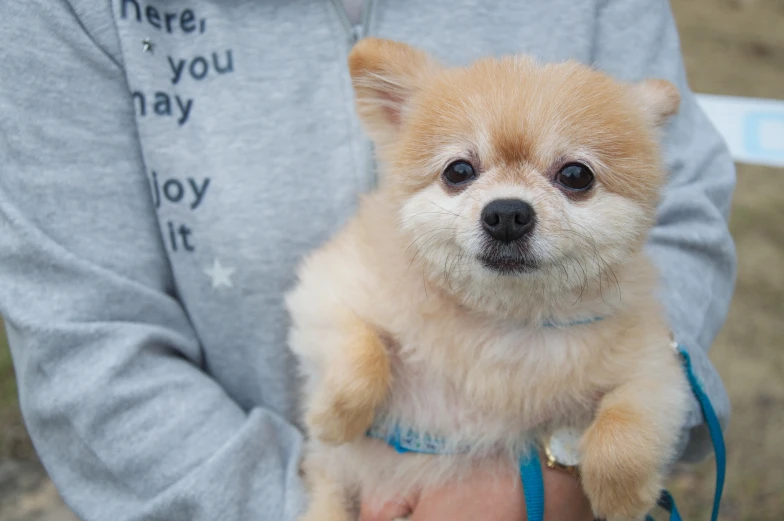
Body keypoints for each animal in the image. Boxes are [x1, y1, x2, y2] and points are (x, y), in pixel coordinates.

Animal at [284, 37, 688, 520]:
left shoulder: (657, 365)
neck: (499, 319)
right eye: (458, 171)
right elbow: (362, 355)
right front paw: (332, 417)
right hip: (334, 486)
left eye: (576, 175)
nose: (507, 213)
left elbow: (629, 421)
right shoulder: (328, 290)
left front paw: (622, 497)